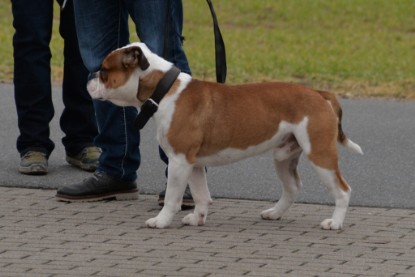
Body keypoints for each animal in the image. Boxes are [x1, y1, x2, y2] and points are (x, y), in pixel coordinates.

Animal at [88, 42, 364, 229]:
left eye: (104, 70)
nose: (90, 77)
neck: (163, 89)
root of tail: (319, 93)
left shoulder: (178, 161)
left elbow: (172, 198)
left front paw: (161, 220)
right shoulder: (192, 164)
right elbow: (201, 195)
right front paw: (197, 218)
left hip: (320, 154)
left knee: (343, 190)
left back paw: (335, 223)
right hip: (284, 157)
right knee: (293, 187)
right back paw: (274, 213)